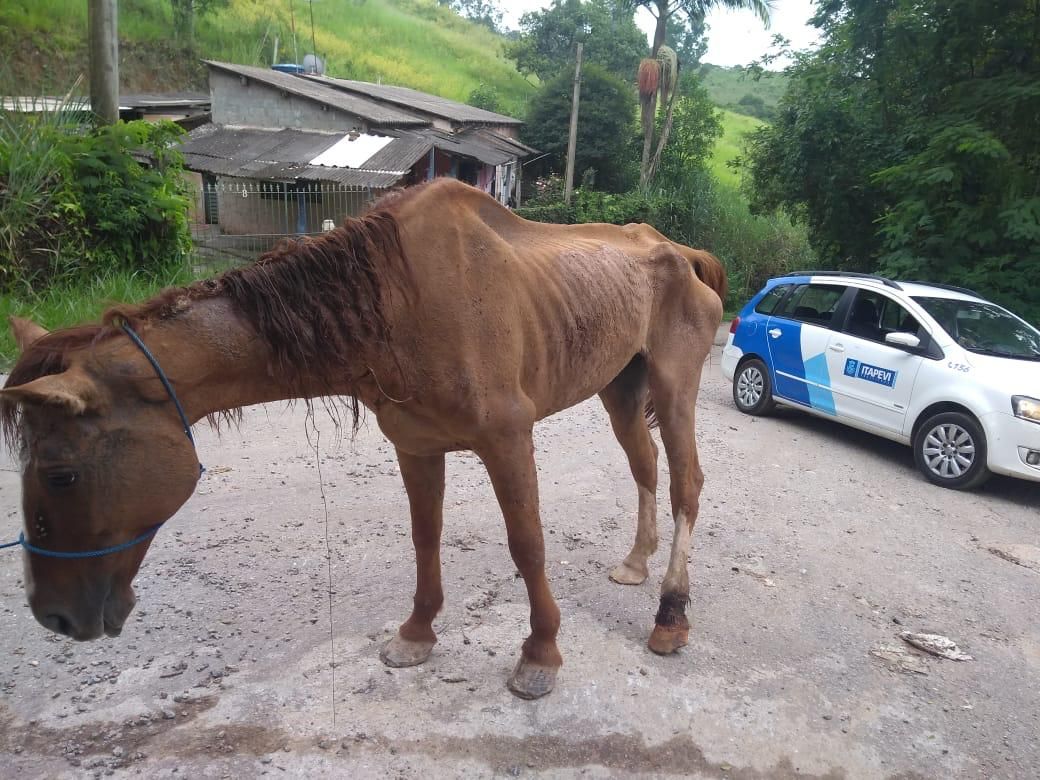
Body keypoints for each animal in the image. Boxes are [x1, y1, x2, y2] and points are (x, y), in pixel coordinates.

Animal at [0, 178, 725, 699]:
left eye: (62, 473)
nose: (53, 616)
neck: (397, 302)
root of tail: (682, 255)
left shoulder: (508, 440)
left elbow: (528, 546)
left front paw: (539, 654)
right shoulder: (416, 446)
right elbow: (425, 538)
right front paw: (417, 632)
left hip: (673, 391)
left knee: (687, 483)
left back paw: (671, 615)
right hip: (620, 393)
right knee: (646, 467)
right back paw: (636, 562)